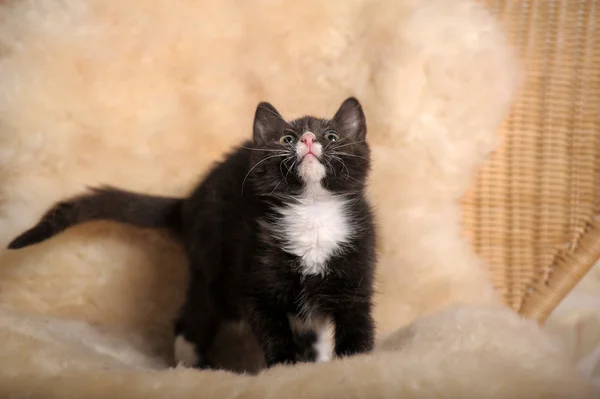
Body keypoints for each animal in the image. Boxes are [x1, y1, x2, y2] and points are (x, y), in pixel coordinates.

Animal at [8, 96, 376, 368]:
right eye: (286, 138)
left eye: (332, 137)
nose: (309, 139)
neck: (312, 213)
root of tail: (190, 202)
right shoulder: (255, 272)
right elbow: (272, 329)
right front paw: (285, 367)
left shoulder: (356, 272)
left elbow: (356, 326)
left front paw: (352, 365)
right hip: (214, 265)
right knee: (192, 319)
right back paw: (194, 366)